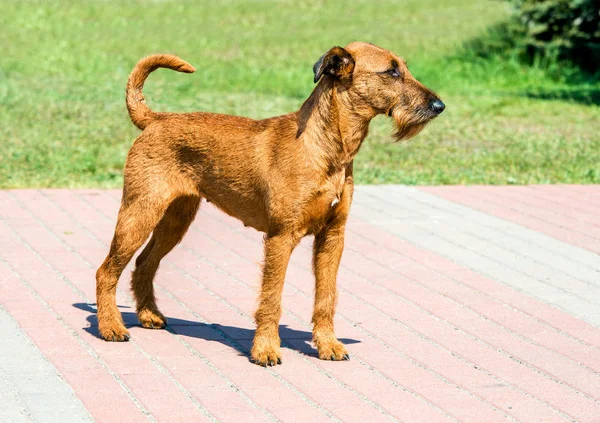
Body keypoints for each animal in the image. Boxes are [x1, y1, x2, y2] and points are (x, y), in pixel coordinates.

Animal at [96, 44, 442, 368]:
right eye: (391, 71)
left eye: (404, 67)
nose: (439, 105)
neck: (323, 147)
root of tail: (156, 120)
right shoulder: (281, 237)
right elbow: (272, 298)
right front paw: (265, 350)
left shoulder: (333, 237)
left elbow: (326, 297)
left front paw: (328, 345)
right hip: (139, 212)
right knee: (106, 271)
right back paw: (111, 327)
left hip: (175, 220)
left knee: (144, 263)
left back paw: (149, 315)